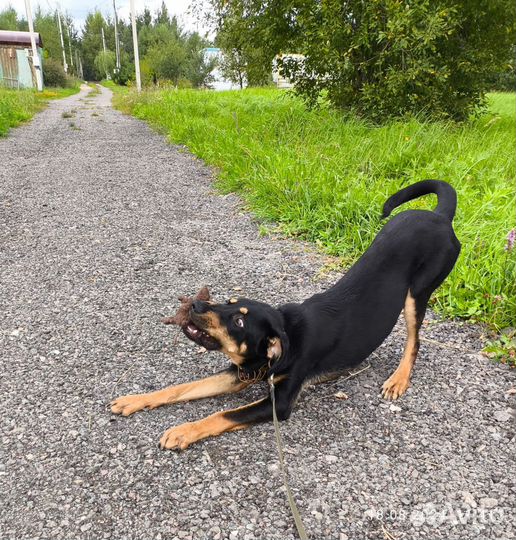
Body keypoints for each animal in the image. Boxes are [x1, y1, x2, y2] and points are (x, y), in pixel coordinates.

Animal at [112, 179, 460, 450]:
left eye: (239, 321)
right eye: (227, 301)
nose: (196, 305)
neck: (285, 334)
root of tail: (440, 217)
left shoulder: (278, 403)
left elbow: (221, 415)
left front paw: (182, 431)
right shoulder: (240, 373)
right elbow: (181, 388)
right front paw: (134, 400)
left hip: (418, 294)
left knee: (414, 341)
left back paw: (398, 379)